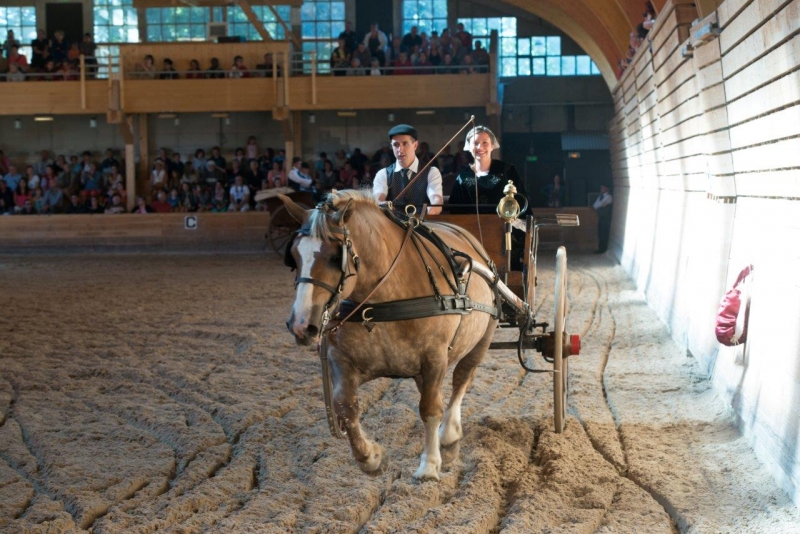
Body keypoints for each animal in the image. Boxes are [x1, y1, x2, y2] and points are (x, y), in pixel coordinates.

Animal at [278, 192, 496, 482]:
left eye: (336, 257)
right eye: (293, 256)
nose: (302, 326)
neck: (383, 300)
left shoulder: (435, 358)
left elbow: (430, 409)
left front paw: (429, 465)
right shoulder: (342, 360)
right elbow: (345, 406)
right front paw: (372, 458)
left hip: (482, 339)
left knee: (462, 378)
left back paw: (449, 432)